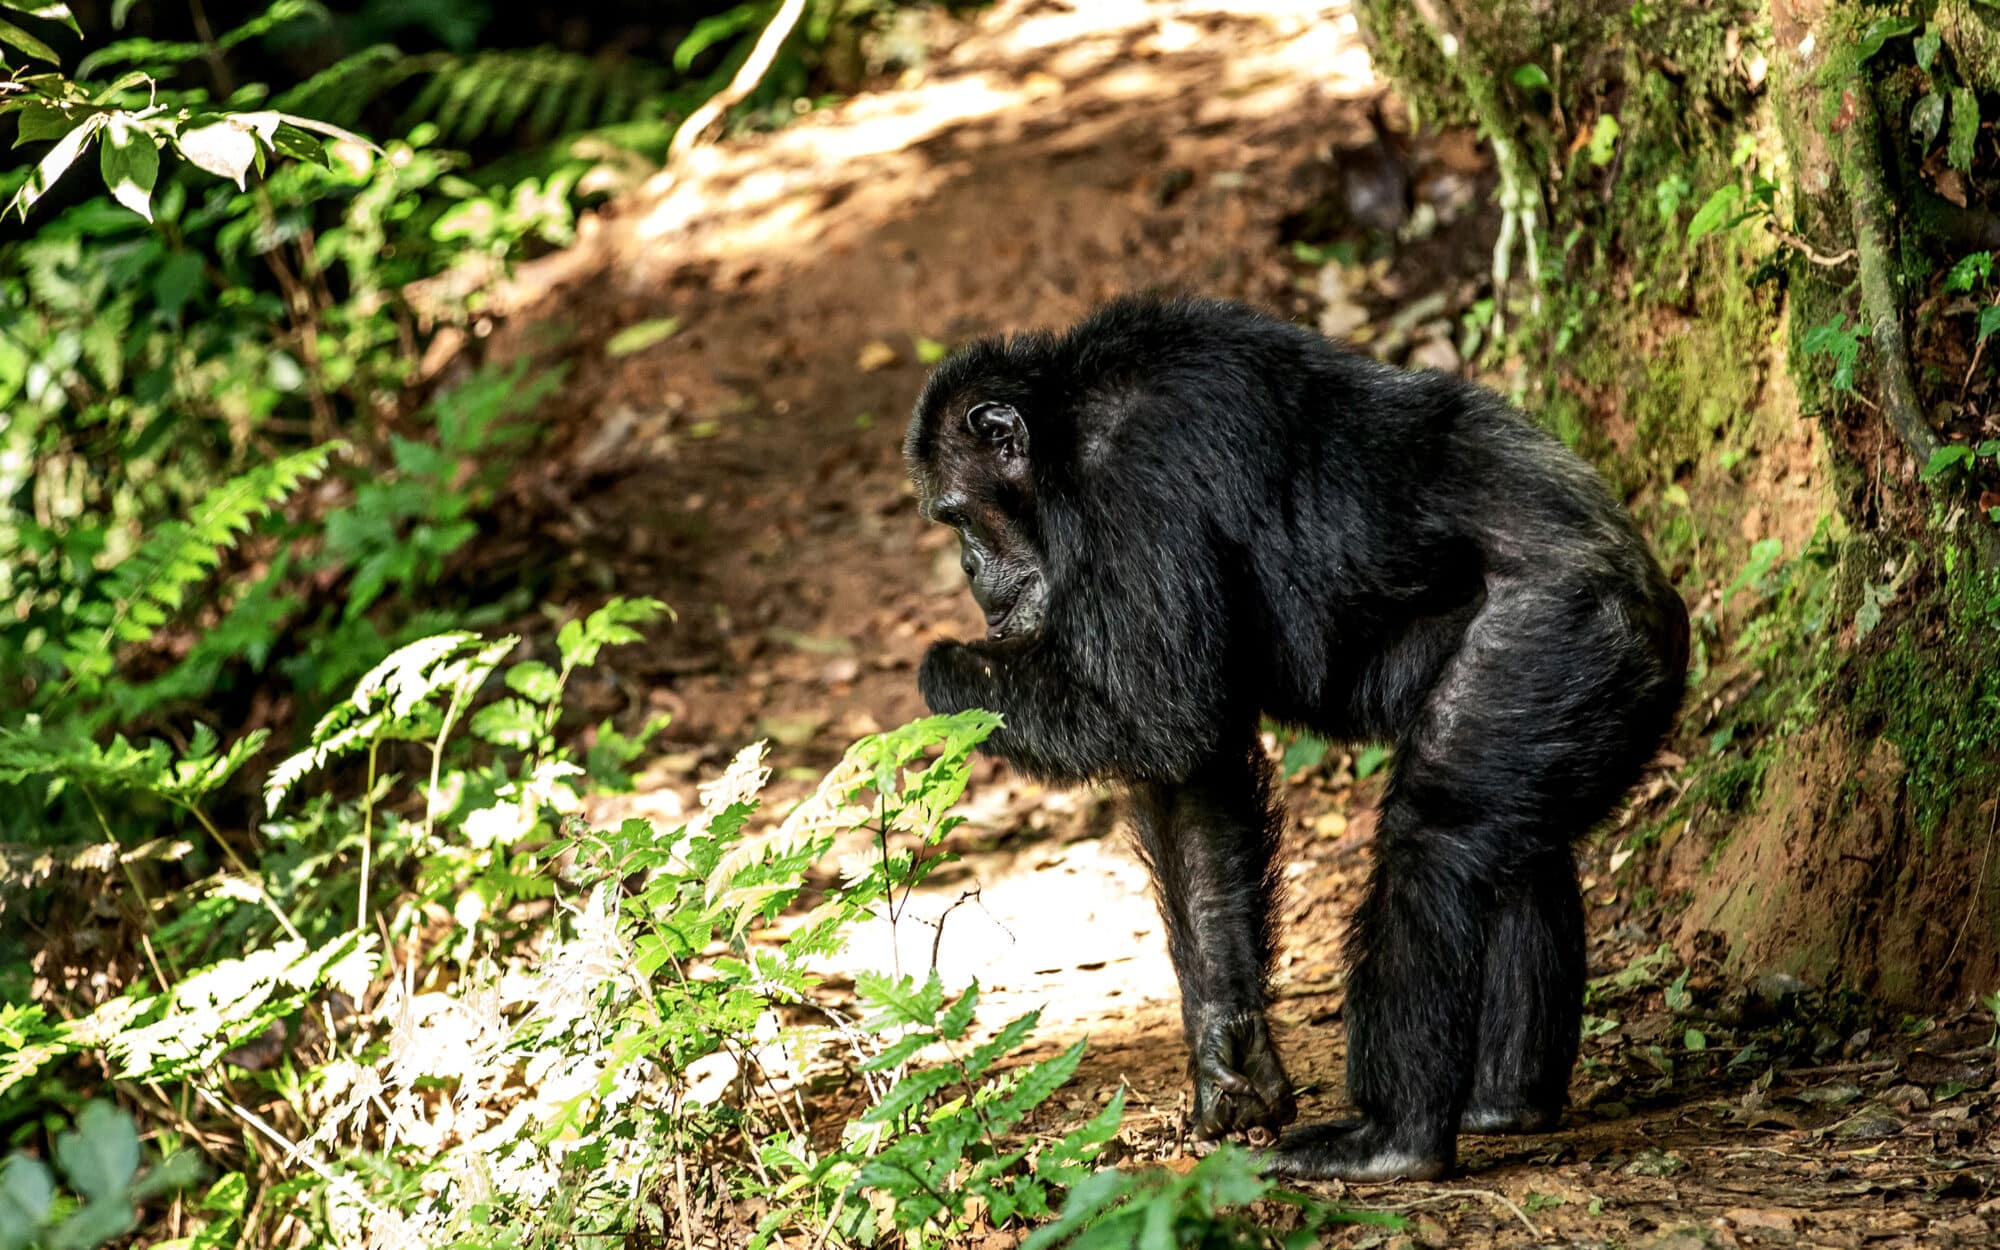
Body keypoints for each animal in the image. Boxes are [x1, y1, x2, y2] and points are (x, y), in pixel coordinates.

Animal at [904, 294, 1688, 1181]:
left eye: (955, 515)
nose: (968, 567)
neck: (1063, 436)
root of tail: (1663, 605)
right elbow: (1194, 779)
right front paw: (1230, 1058)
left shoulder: (1132, 489)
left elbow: (1161, 715)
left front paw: (948, 668)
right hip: (1575, 694)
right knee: (1521, 842)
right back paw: (1507, 1101)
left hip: (1556, 634)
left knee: (1435, 842)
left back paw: (1396, 1139)